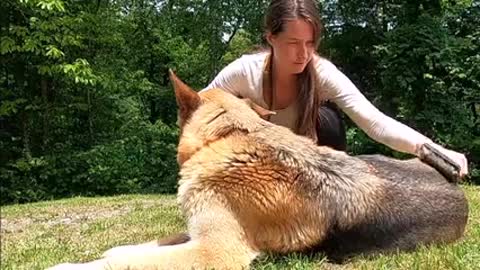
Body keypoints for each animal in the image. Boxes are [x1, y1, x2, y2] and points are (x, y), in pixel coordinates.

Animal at [48, 70, 468, 268]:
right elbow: (144, 247)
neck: (230, 136)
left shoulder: (214, 252)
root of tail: (461, 195)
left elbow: (130, 261)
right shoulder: (197, 234)